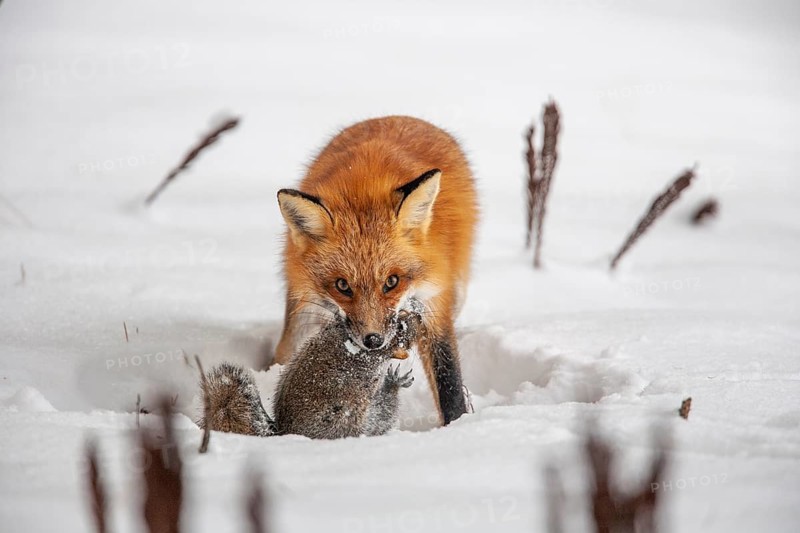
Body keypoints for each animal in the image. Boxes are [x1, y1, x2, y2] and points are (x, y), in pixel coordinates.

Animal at [275, 115, 478, 425]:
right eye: (342, 285)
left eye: (392, 281)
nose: (373, 341)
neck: (362, 187)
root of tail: (397, 117)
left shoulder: (434, 303)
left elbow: (449, 383)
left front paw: (458, 427)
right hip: (303, 306)